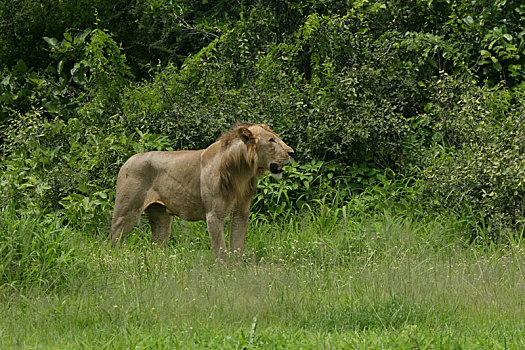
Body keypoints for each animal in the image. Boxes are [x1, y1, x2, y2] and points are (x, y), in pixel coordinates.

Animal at [109, 122, 294, 260]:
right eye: (272, 140)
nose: (292, 152)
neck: (242, 171)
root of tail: (128, 160)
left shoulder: (241, 212)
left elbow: (237, 246)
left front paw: (237, 272)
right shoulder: (213, 214)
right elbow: (221, 251)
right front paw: (225, 274)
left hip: (161, 217)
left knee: (157, 248)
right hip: (126, 212)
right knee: (112, 242)